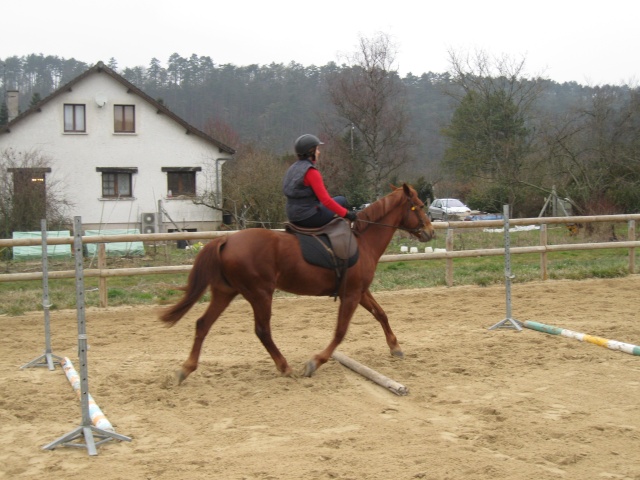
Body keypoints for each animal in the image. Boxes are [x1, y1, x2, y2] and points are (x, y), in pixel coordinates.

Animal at [161, 184, 436, 382]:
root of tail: (226, 240)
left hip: (225, 292)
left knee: (203, 324)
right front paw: (315, 362)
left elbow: (381, 314)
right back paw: (285, 367)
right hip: (260, 294)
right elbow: (340, 331)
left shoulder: (360, 291)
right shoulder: (351, 295)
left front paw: (395, 347)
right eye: (420, 206)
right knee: (262, 331)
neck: (363, 239)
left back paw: (185, 369)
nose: (431, 232)